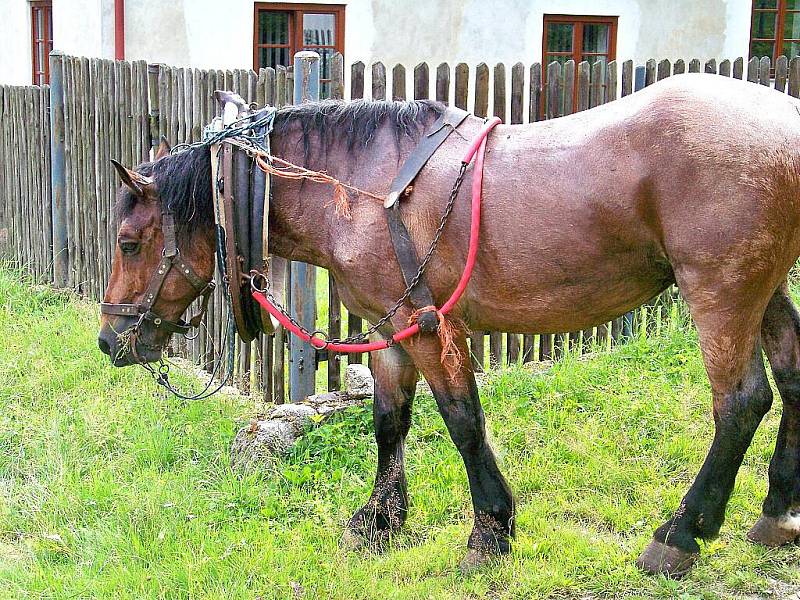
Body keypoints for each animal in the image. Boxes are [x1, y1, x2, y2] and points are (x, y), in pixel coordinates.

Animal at [98, 75, 800, 576]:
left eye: (130, 242)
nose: (110, 340)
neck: (359, 187)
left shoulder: (428, 325)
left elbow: (462, 418)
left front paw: (491, 527)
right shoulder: (389, 329)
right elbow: (389, 420)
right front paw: (380, 519)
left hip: (720, 290)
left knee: (742, 402)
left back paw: (682, 534)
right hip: (764, 288)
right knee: (792, 378)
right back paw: (777, 513)